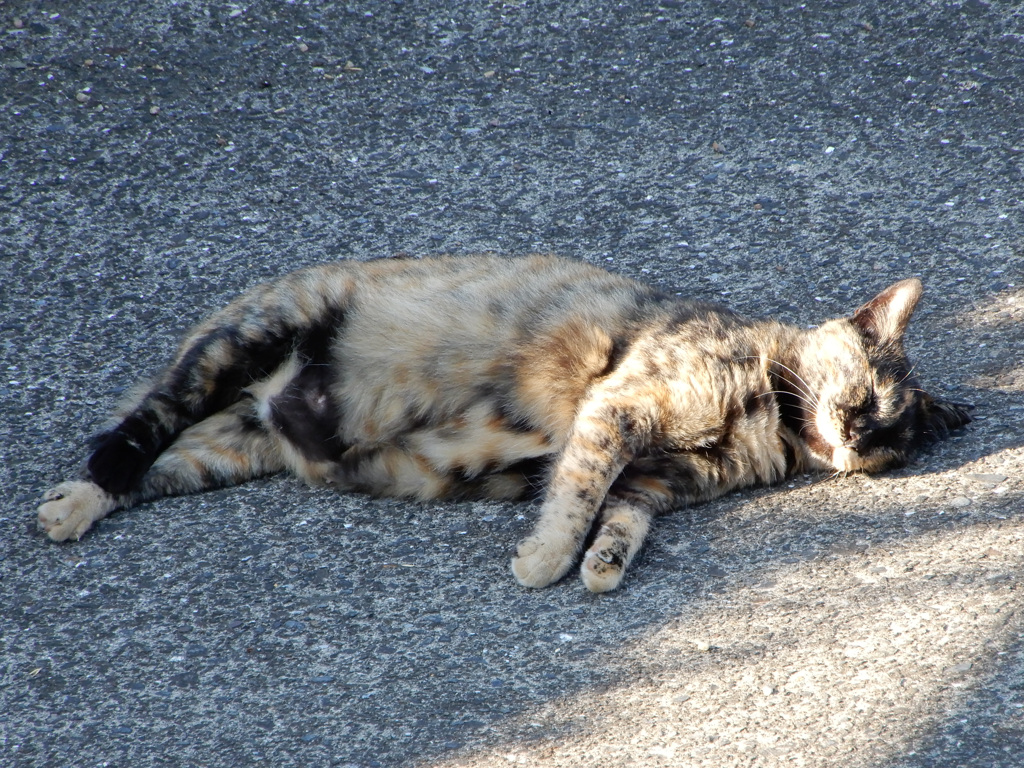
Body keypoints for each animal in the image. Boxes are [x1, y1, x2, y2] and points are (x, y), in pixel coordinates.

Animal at [37, 256, 966, 593]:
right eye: (865, 400)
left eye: (893, 444)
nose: (857, 441)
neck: (765, 418)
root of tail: (272, 402)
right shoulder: (620, 411)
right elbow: (577, 492)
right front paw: (547, 561)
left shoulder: (660, 481)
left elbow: (622, 517)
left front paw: (602, 567)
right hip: (246, 338)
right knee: (136, 430)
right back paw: (77, 498)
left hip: (229, 449)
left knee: (163, 465)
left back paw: (76, 504)